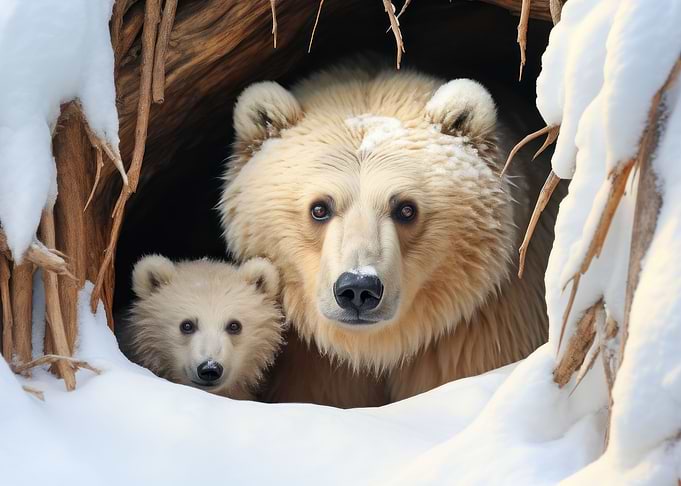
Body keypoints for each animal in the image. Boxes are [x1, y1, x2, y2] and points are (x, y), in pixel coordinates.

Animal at [219, 60, 558, 407]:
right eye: (319, 208)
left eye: (406, 209)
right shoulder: (314, 368)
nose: (358, 288)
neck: (375, 346)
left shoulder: (485, 331)